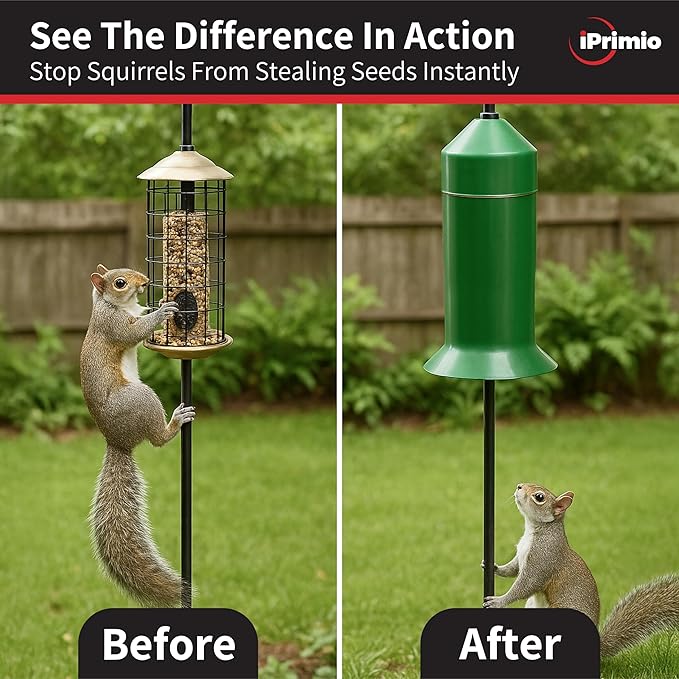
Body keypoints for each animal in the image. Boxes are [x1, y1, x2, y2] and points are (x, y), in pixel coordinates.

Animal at [80, 264, 195, 607]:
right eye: (119, 283)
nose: (145, 282)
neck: (113, 304)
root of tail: (117, 441)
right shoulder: (113, 326)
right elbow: (133, 333)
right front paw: (163, 311)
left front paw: (154, 304)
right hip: (141, 398)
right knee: (158, 439)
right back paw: (176, 421)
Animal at [482, 482, 679, 658]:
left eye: (539, 497)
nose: (519, 486)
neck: (535, 531)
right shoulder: (521, 558)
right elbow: (511, 569)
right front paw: (493, 566)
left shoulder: (543, 560)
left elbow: (526, 585)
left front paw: (498, 601)